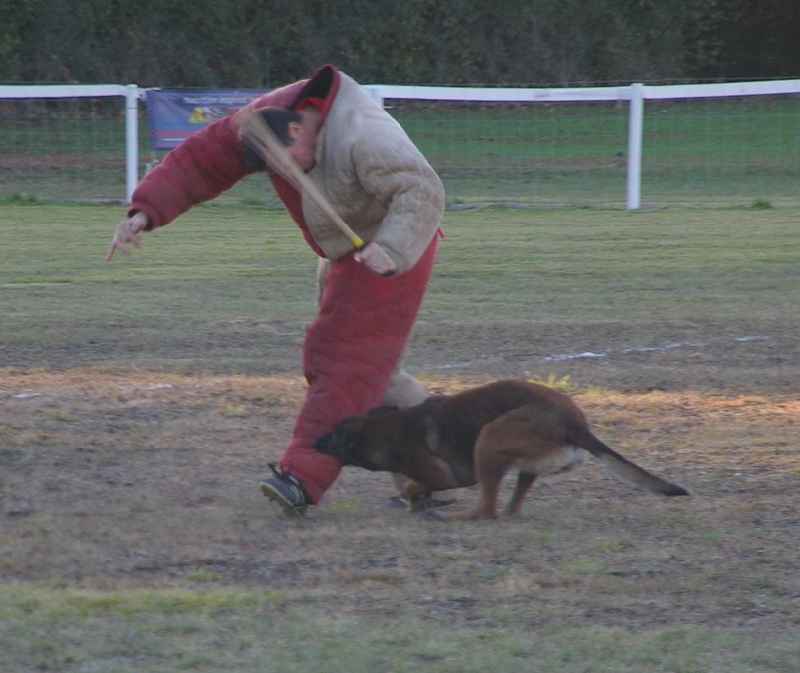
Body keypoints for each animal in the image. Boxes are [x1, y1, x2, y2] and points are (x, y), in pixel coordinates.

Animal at [312, 378, 688, 520]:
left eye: (331, 436)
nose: (312, 440)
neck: (387, 429)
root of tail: (575, 425)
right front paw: (417, 504)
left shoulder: (443, 476)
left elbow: (410, 484)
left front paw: (417, 503)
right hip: (520, 461)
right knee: (508, 506)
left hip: (489, 438)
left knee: (487, 508)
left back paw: (453, 517)